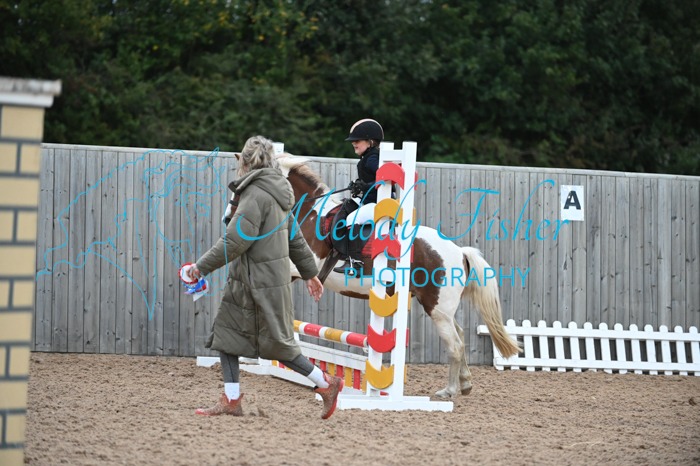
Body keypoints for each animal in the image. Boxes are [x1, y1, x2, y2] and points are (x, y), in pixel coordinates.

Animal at [267, 154, 521, 399]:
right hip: (441, 308)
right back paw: (465, 384)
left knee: (455, 345)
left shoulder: (301, 265)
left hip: (437, 308)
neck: (308, 213)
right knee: (458, 334)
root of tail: (459, 252)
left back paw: (448, 391)